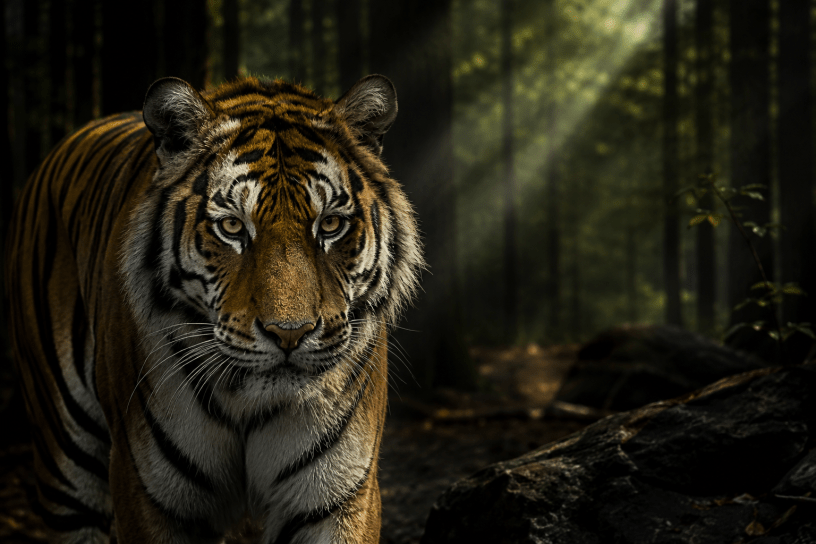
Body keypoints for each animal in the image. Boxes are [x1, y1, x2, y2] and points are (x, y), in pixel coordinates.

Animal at [5, 74, 423, 543]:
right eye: (232, 227)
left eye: (330, 224)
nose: (290, 333)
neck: (250, 406)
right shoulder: (147, 492)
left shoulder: (337, 496)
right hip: (66, 468)